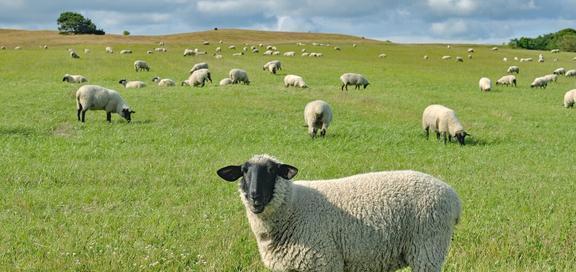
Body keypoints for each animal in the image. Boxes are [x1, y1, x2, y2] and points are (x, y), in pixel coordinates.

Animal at [218, 154, 462, 272]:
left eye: (271, 171)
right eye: (243, 172)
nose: (255, 197)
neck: (293, 207)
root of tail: (453, 196)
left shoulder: (324, 262)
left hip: (428, 248)